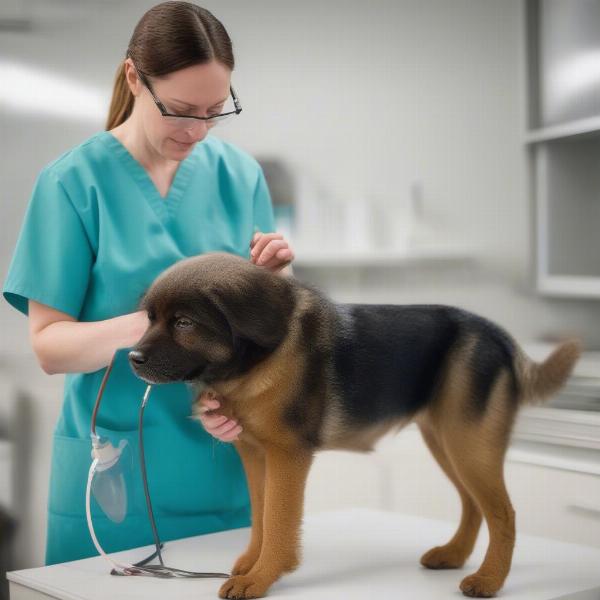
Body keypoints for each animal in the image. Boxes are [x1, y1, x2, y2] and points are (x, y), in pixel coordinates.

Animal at [127, 251, 580, 596]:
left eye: (184, 322)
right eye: (149, 318)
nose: (132, 358)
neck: (255, 363)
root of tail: (497, 334)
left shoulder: (288, 457)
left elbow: (278, 521)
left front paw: (262, 577)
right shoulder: (256, 454)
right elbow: (260, 516)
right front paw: (252, 564)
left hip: (468, 442)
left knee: (503, 513)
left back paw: (489, 579)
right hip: (447, 441)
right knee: (472, 504)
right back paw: (454, 555)